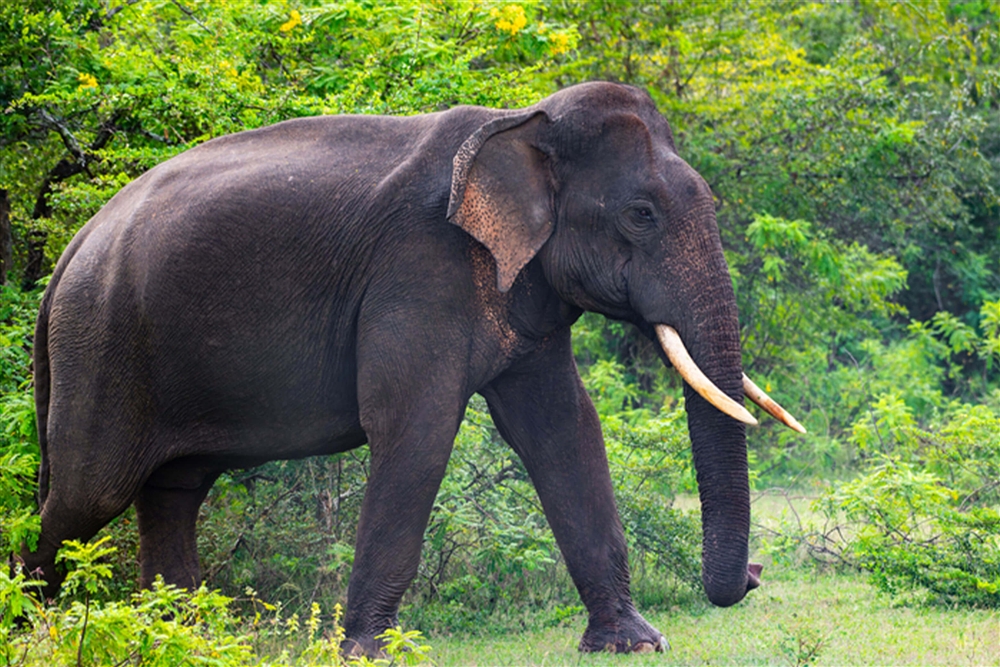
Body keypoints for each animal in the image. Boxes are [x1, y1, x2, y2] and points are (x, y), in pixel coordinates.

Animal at [22, 81, 802, 654]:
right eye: (640, 213)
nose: (758, 574)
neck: (519, 123)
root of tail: (67, 254)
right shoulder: (420, 269)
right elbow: (416, 428)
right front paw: (369, 651)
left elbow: (564, 429)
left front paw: (633, 643)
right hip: (102, 342)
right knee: (89, 492)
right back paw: (39, 628)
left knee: (173, 490)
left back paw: (181, 635)